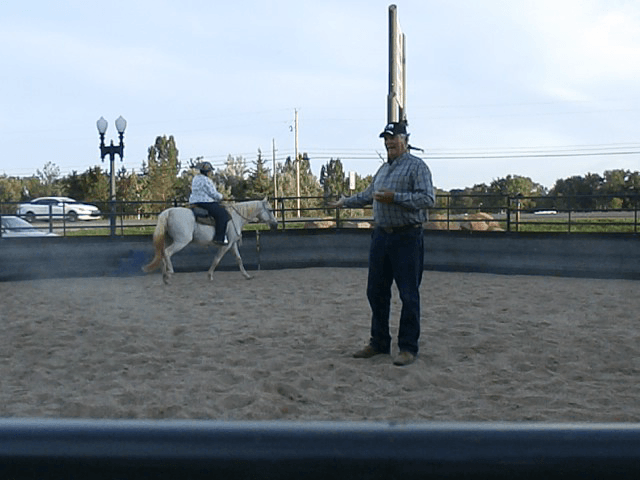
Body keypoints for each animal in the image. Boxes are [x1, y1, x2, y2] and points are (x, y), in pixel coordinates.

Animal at [142, 197, 278, 284]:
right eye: (270, 210)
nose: (276, 224)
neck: (235, 217)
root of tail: (169, 211)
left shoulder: (232, 244)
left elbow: (239, 259)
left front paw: (247, 276)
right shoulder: (225, 245)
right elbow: (217, 259)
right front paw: (210, 275)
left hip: (170, 240)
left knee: (162, 253)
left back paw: (164, 276)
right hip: (181, 241)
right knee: (167, 253)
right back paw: (169, 273)